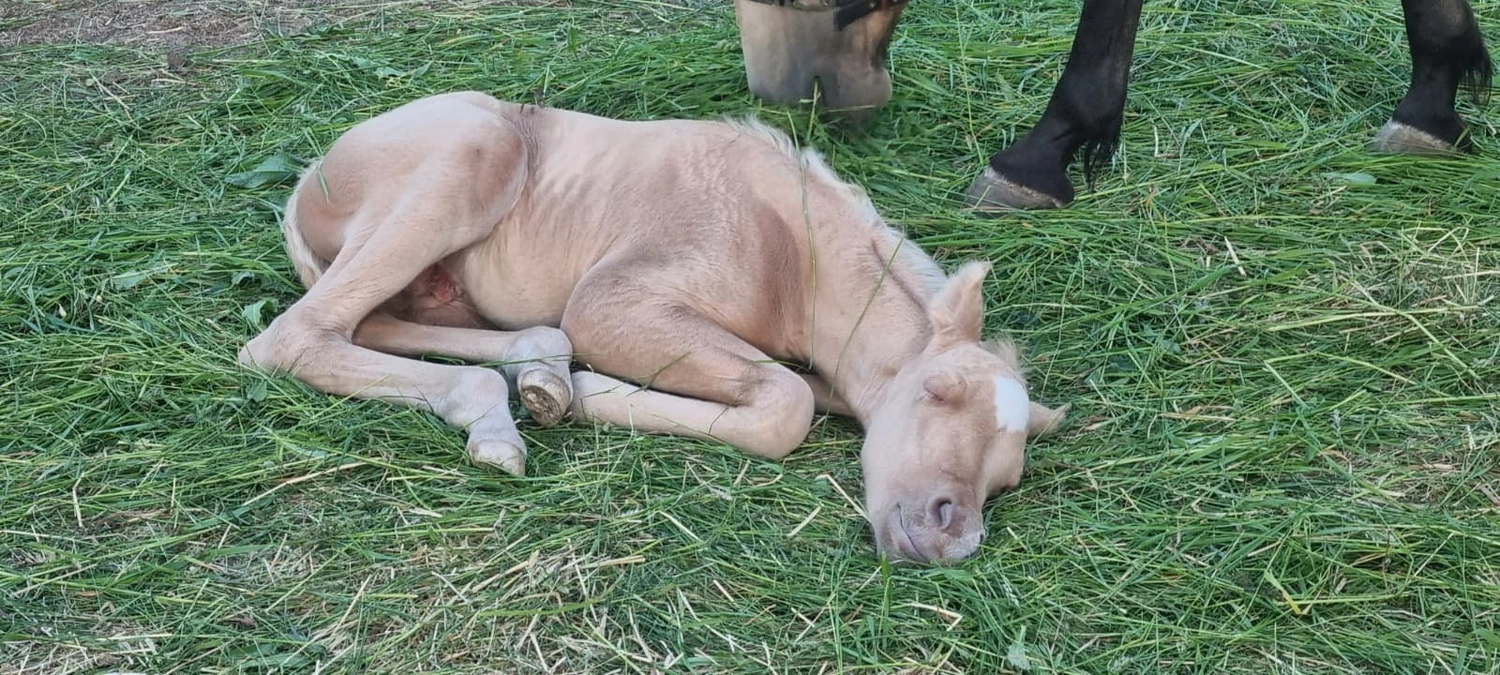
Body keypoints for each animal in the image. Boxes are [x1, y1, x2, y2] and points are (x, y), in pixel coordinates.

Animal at [237, 91, 1071, 563]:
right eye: (936, 390)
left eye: (1008, 478)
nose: (951, 534)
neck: (790, 255)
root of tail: (310, 179)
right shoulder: (611, 300)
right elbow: (785, 405)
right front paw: (593, 394)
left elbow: (795, 389)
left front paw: (569, 386)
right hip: (473, 157)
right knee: (293, 335)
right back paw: (507, 413)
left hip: (433, 284)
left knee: (374, 322)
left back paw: (535, 374)